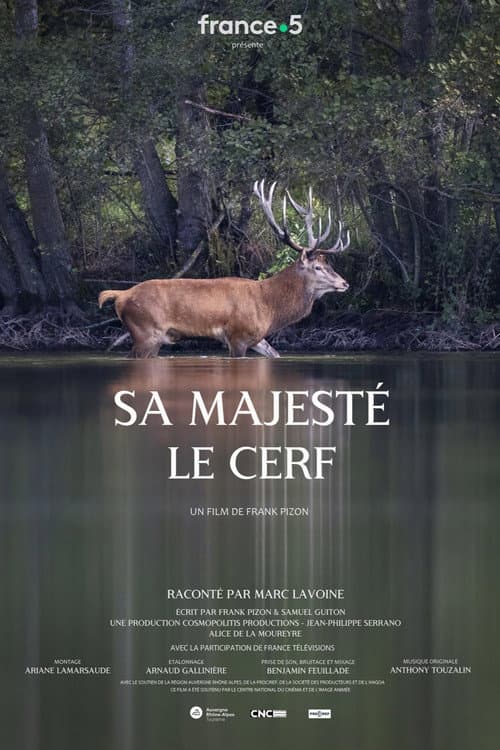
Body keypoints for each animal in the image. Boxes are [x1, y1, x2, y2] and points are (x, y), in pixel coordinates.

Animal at [98, 180, 350, 358]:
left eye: (329, 264)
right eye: (318, 267)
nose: (344, 283)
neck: (269, 306)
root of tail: (121, 295)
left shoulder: (257, 337)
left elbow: (275, 354)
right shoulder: (237, 335)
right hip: (146, 332)